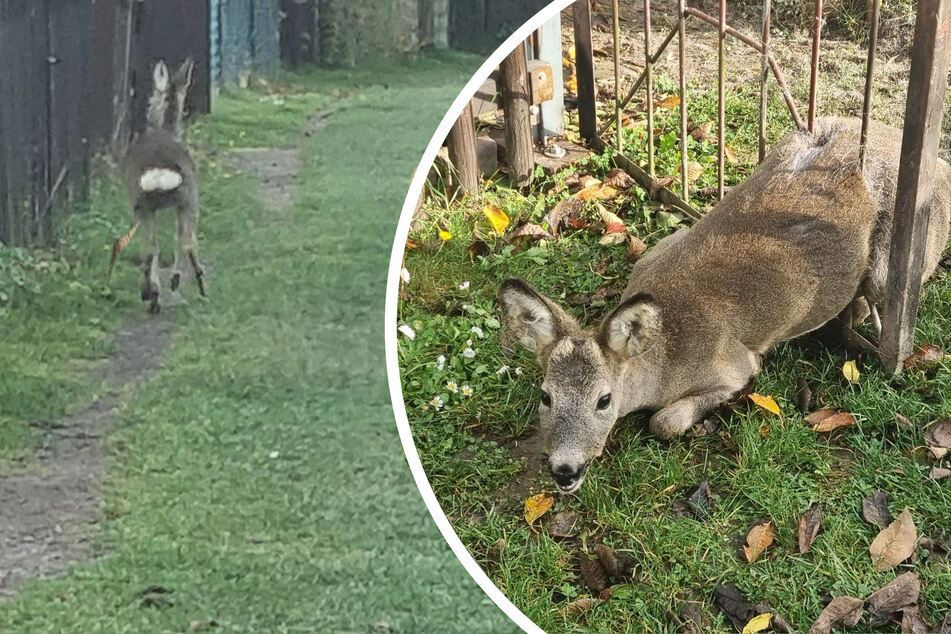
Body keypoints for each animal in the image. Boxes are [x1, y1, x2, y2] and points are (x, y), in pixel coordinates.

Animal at [120, 58, 205, 312]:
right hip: (187, 197)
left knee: (152, 248)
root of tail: (159, 173)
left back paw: (153, 294)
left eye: (150, 98)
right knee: (182, 241)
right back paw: (184, 284)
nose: (147, 109)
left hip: (143, 203)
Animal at [502, 118, 948, 494]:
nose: (564, 471)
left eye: (604, 400)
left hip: (893, 265)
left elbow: (664, 421)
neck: (665, 356)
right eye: (546, 396)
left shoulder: (737, 364)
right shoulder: (658, 250)